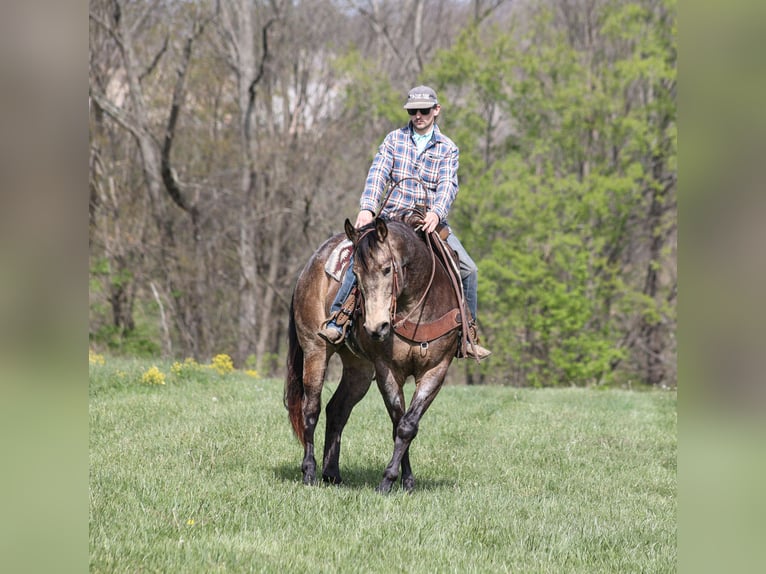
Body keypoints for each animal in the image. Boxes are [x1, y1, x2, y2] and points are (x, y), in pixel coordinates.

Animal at [284, 216, 466, 493]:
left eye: (388, 269)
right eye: (355, 273)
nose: (376, 327)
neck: (415, 310)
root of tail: (308, 267)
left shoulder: (436, 370)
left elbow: (406, 425)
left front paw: (405, 482)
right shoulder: (386, 370)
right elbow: (398, 423)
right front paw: (388, 481)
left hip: (358, 368)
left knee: (337, 410)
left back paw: (332, 474)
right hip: (315, 350)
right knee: (311, 409)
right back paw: (309, 473)